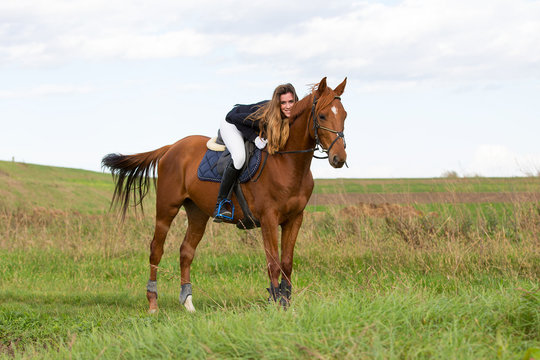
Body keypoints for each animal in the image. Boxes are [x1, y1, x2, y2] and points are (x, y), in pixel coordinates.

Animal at [102, 76, 346, 312]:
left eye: (344, 115)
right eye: (322, 116)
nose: (339, 158)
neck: (287, 162)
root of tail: (171, 147)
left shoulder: (295, 218)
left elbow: (286, 263)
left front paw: (285, 304)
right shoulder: (268, 219)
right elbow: (273, 263)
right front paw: (275, 303)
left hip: (197, 212)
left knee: (186, 251)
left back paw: (188, 303)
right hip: (166, 208)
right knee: (156, 250)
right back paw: (153, 303)